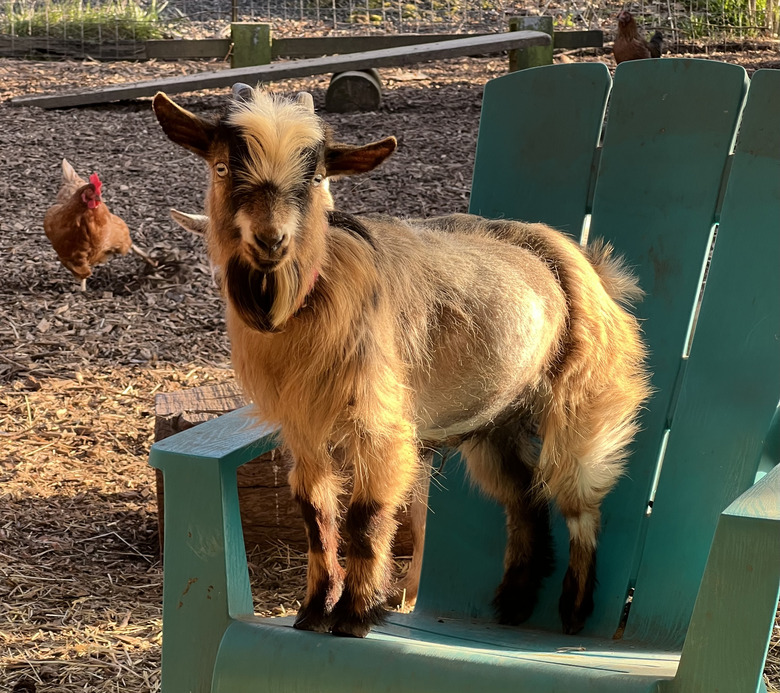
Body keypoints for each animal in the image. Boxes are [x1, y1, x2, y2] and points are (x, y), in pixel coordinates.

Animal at [154, 88, 652, 636]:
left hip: (585, 398)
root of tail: (589, 263)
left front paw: (355, 615)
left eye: (319, 176)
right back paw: (514, 604)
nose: (271, 240)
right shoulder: (302, 425)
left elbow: (367, 516)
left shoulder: (381, 422)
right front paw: (312, 612)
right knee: (524, 497)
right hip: (495, 422)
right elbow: (315, 513)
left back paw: (574, 610)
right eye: (221, 167)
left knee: (580, 499)